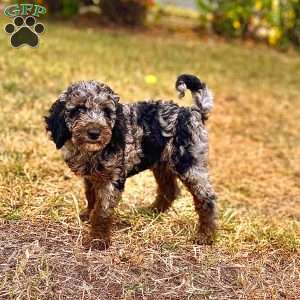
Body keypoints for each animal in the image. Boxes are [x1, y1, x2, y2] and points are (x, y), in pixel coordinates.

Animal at [44, 74, 217, 250]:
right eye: (78, 109)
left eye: (107, 112)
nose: (94, 133)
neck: (93, 152)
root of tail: (193, 112)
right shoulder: (91, 177)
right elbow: (91, 196)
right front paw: (88, 214)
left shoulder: (112, 179)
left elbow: (102, 211)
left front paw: (98, 239)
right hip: (162, 163)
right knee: (169, 189)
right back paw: (152, 211)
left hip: (189, 163)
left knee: (206, 198)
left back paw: (205, 235)